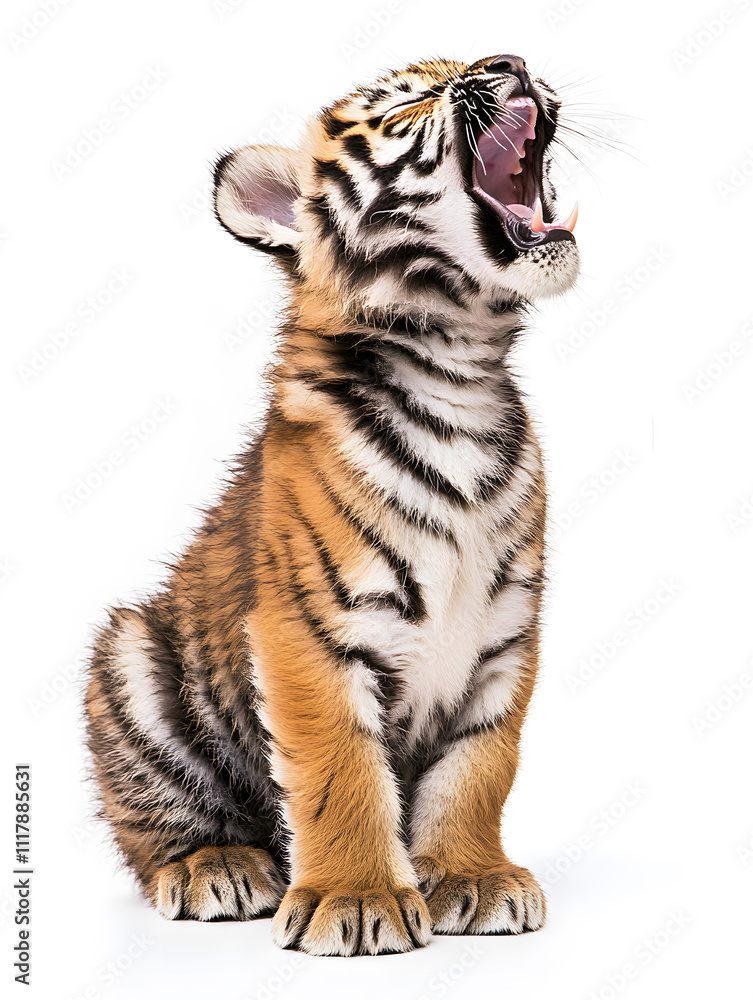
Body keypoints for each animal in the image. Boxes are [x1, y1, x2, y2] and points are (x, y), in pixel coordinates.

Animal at [85, 53, 580, 957]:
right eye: (406, 102)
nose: (512, 62)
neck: (455, 371)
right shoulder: (308, 630)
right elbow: (339, 770)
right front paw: (357, 900)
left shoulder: (504, 635)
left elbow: (479, 768)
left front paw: (475, 879)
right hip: (131, 654)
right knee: (157, 826)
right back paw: (217, 868)